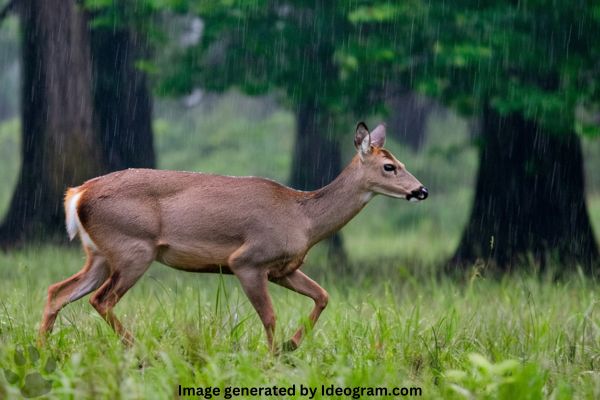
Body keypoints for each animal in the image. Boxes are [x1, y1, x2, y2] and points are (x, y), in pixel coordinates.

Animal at [38, 121, 426, 350]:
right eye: (389, 166)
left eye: (402, 162)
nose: (421, 190)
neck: (303, 218)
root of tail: (77, 194)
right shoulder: (247, 260)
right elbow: (269, 316)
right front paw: (272, 357)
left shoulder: (283, 268)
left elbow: (323, 296)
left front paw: (291, 346)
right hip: (133, 248)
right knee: (100, 300)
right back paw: (141, 350)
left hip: (99, 255)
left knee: (58, 291)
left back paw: (42, 350)